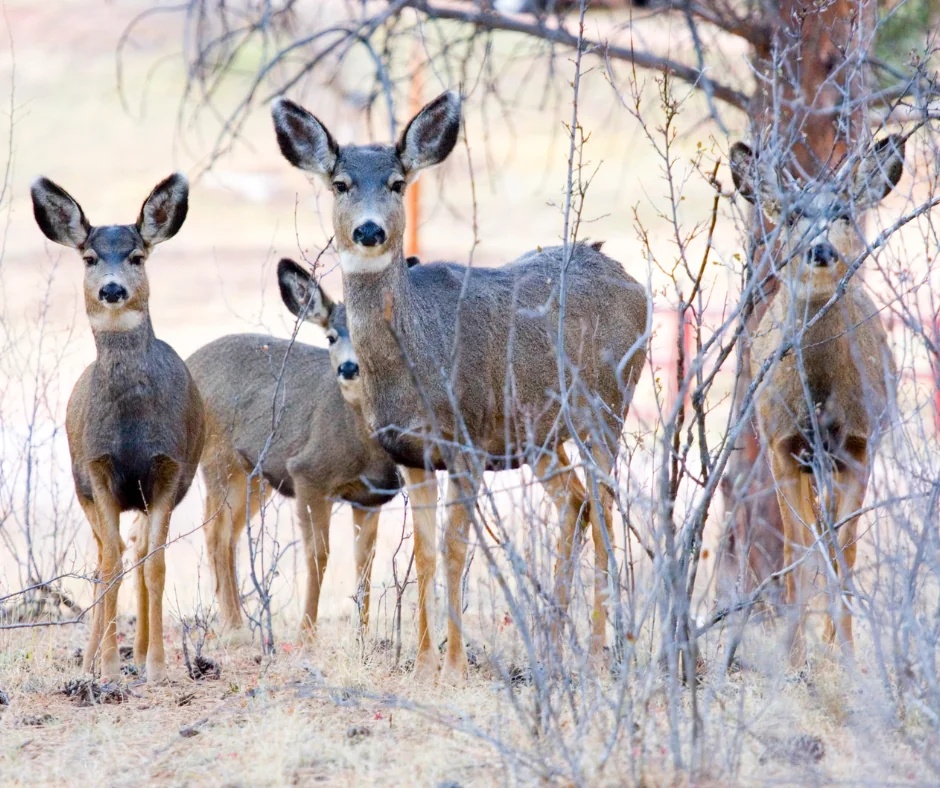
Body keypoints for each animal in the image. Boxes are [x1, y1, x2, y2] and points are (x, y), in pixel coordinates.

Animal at [30, 174, 205, 684]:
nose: (111, 289)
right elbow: (110, 566)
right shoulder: (98, 467)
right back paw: (91, 658)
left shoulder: (169, 469)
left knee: (138, 550)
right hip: (79, 486)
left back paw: (142, 650)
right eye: (89, 257)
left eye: (137, 256)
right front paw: (107, 667)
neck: (131, 431)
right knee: (106, 557)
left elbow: (156, 565)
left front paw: (158, 666)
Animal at [187, 257, 440, 654]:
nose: (349, 368)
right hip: (218, 459)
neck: (361, 446)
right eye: (331, 336)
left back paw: (233, 622)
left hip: (255, 477)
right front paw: (306, 632)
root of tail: (189, 361)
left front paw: (362, 634)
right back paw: (234, 627)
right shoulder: (307, 473)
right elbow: (317, 555)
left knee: (227, 536)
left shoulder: (369, 498)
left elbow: (364, 561)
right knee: (215, 534)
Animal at [271, 90, 649, 682]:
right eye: (340, 184)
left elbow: (454, 547)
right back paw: (551, 648)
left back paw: (594, 655)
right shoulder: (412, 455)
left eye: (398, 182)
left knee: (606, 508)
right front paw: (425, 664)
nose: (370, 231)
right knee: (576, 502)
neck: (414, 364)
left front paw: (453, 665)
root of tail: (634, 283)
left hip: (606, 408)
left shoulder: (467, 442)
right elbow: (425, 550)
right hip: (540, 437)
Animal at [729, 135, 903, 667]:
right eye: (790, 215)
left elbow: (845, 549)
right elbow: (796, 549)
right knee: (806, 539)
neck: (821, 396)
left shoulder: (861, 444)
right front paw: (791, 654)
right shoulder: (780, 443)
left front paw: (844, 652)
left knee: (832, 536)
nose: (819, 248)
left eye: (843, 211)